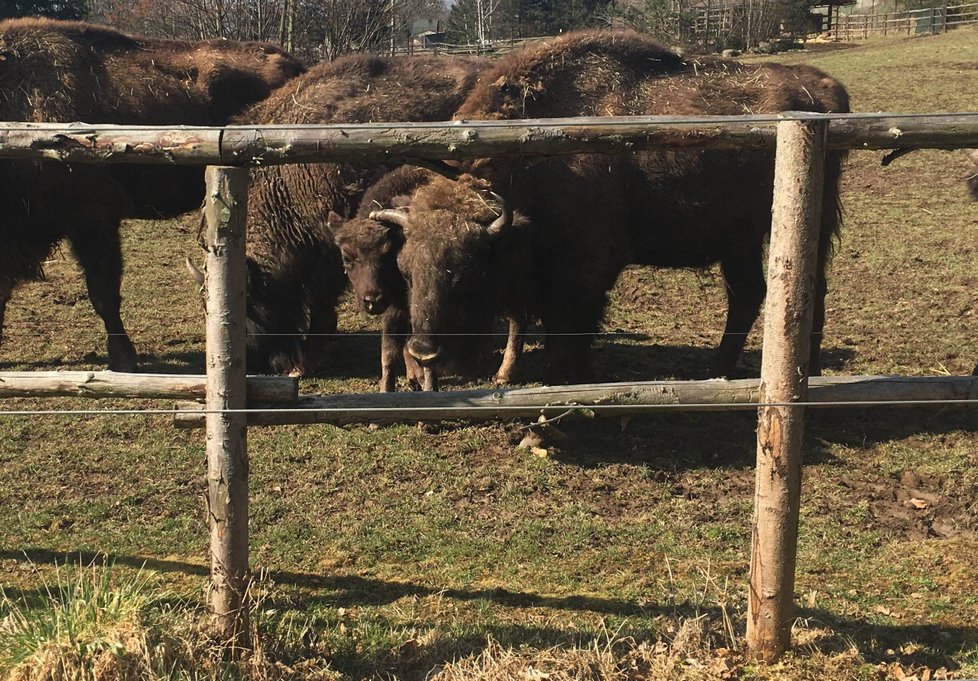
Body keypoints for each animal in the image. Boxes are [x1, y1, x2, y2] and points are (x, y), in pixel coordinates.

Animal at [382, 31, 848, 386]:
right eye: (405, 270)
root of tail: (826, 87)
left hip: (809, 223)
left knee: (810, 289)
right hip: (740, 238)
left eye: (469, 269)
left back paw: (809, 370)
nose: (424, 353)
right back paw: (715, 370)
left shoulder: (586, 271)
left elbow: (570, 334)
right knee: (748, 294)